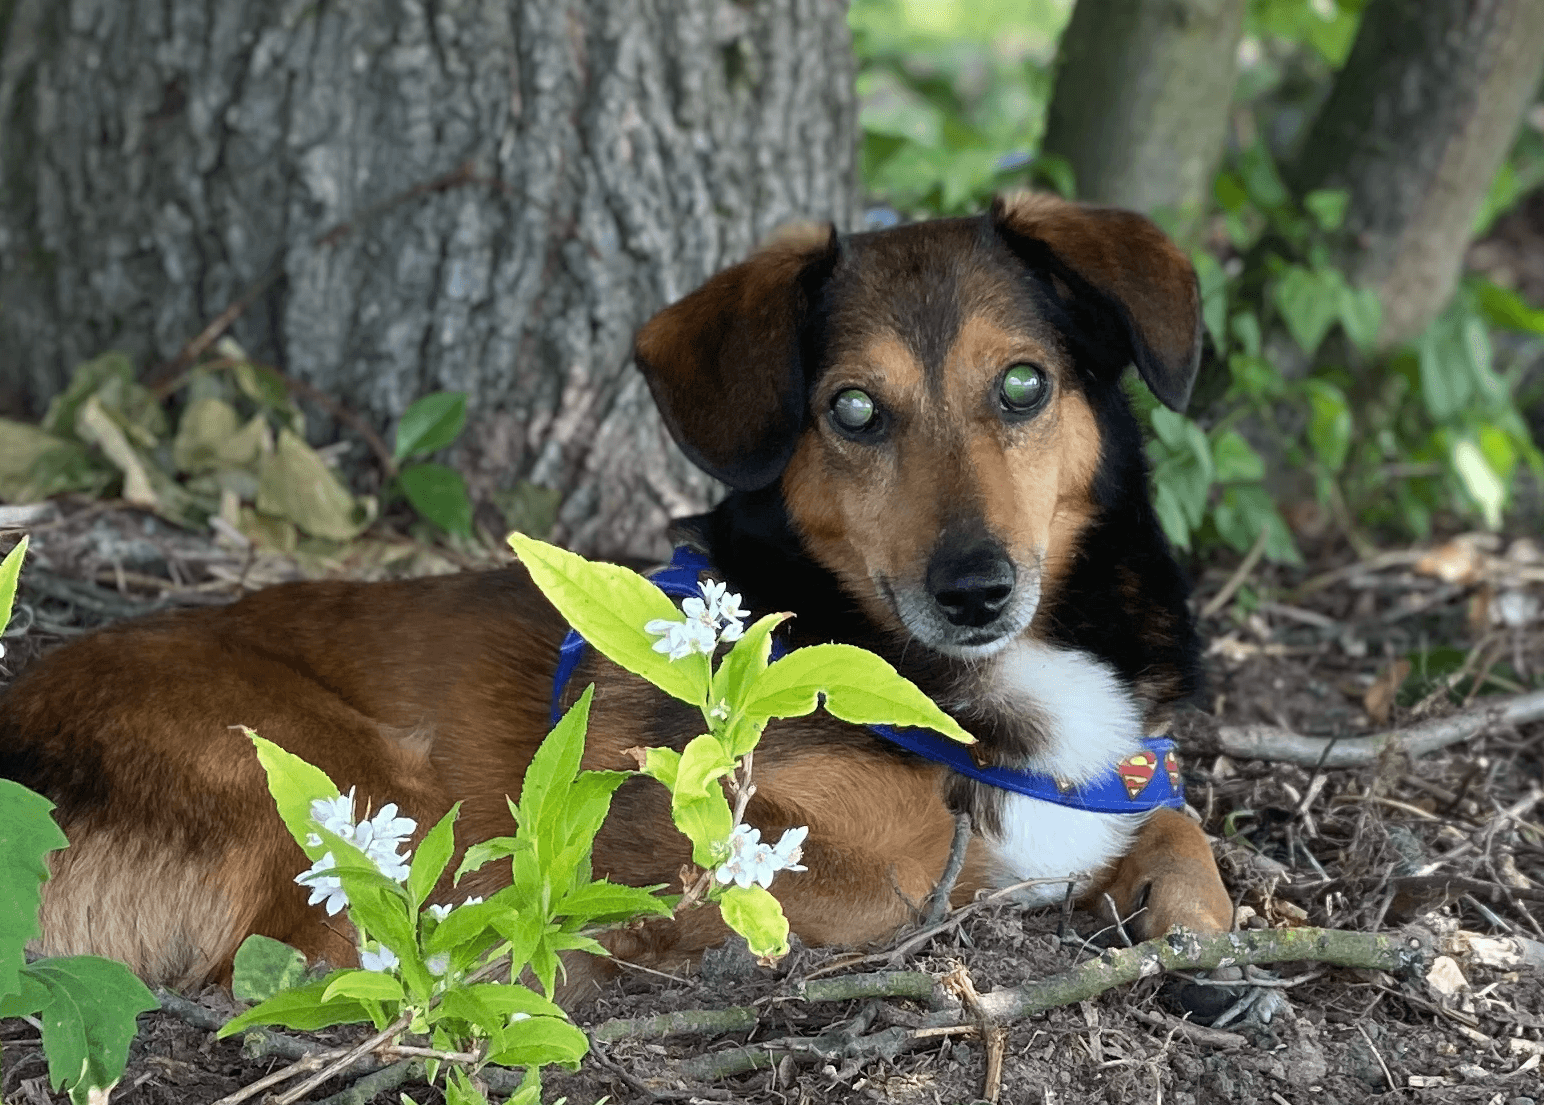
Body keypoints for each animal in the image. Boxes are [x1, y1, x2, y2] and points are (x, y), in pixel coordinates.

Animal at [0, 194, 1229, 1000]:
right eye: (853, 410)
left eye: (1022, 384)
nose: (975, 589)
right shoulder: (663, 845)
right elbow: (933, 859)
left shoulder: (1127, 780)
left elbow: (1176, 824)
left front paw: (1199, 935)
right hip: (331, 781)